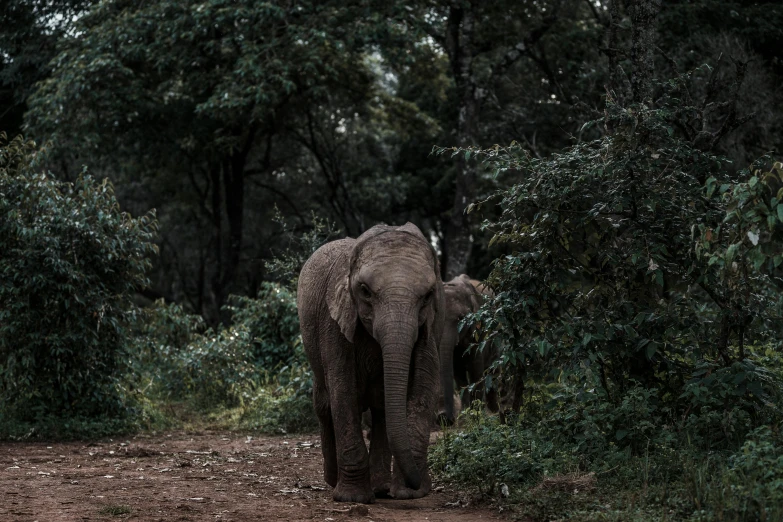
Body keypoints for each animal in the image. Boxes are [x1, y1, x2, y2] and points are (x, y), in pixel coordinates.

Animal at [298, 221, 444, 502]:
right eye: (364, 291)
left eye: (428, 295)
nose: (419, 484)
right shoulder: (334, 321)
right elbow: (343, 392)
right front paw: (352, 498)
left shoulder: (430, 326)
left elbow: (425, 386)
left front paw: (409, 493)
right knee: (324, 403)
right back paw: (334, 481)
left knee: (380, 407)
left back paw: (381, 489)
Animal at [438, 272, 500, 422]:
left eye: (461, 318)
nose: (443, 417)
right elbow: (458, 373)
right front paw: (466, 416)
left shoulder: (481, 328)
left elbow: (475, 369)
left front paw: (477, 416)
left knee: (493, 371)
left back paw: (494, 412)